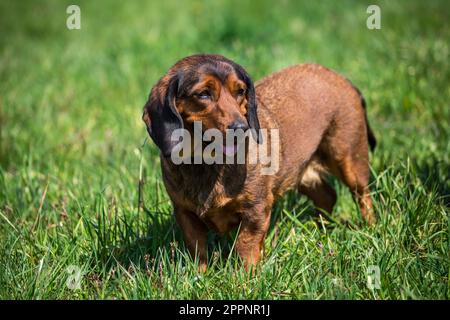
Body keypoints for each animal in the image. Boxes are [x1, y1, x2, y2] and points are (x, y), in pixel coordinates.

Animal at [142, 54, 374, 270]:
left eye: (240, 91)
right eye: (203, 94)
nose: (241, 128)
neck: (207, 162)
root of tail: (340, 77)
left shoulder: (256, 210)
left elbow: (245, 246)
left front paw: (245, 278)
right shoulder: (185, 213)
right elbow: (197, 250)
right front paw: (200, 276)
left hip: (349, 161)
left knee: (363, 196)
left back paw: (369, 227)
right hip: (302, 173)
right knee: (328, 196)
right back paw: (321, 228)